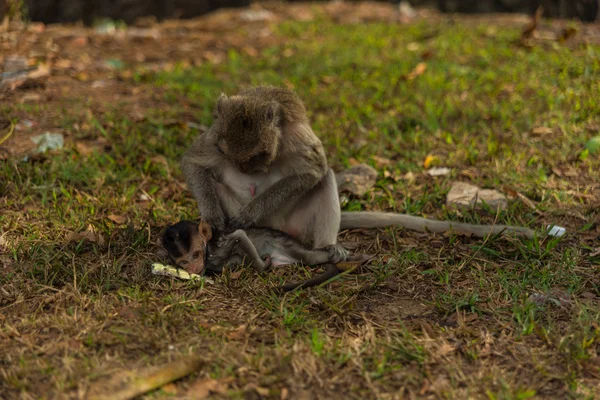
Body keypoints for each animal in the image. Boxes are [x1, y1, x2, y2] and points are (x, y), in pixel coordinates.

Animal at [159, 220, 370, 292]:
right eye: (184, 261)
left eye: (196, 254)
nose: (193, 268)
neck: (208, 251)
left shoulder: (218, 246)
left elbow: (240, 236)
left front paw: (262, 265)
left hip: (286, 243)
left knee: (312, 257)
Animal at [180, 85, 536, 260]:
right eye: (227, 154)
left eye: (259, 156)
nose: (246, 170)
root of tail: (276, 230)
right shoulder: (215, 135)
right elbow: (194, 163)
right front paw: (212, 220)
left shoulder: (296, 139)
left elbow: (314, 170)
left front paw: (250, 213)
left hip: (298, 224)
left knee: (325, 178)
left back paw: (325, 248)